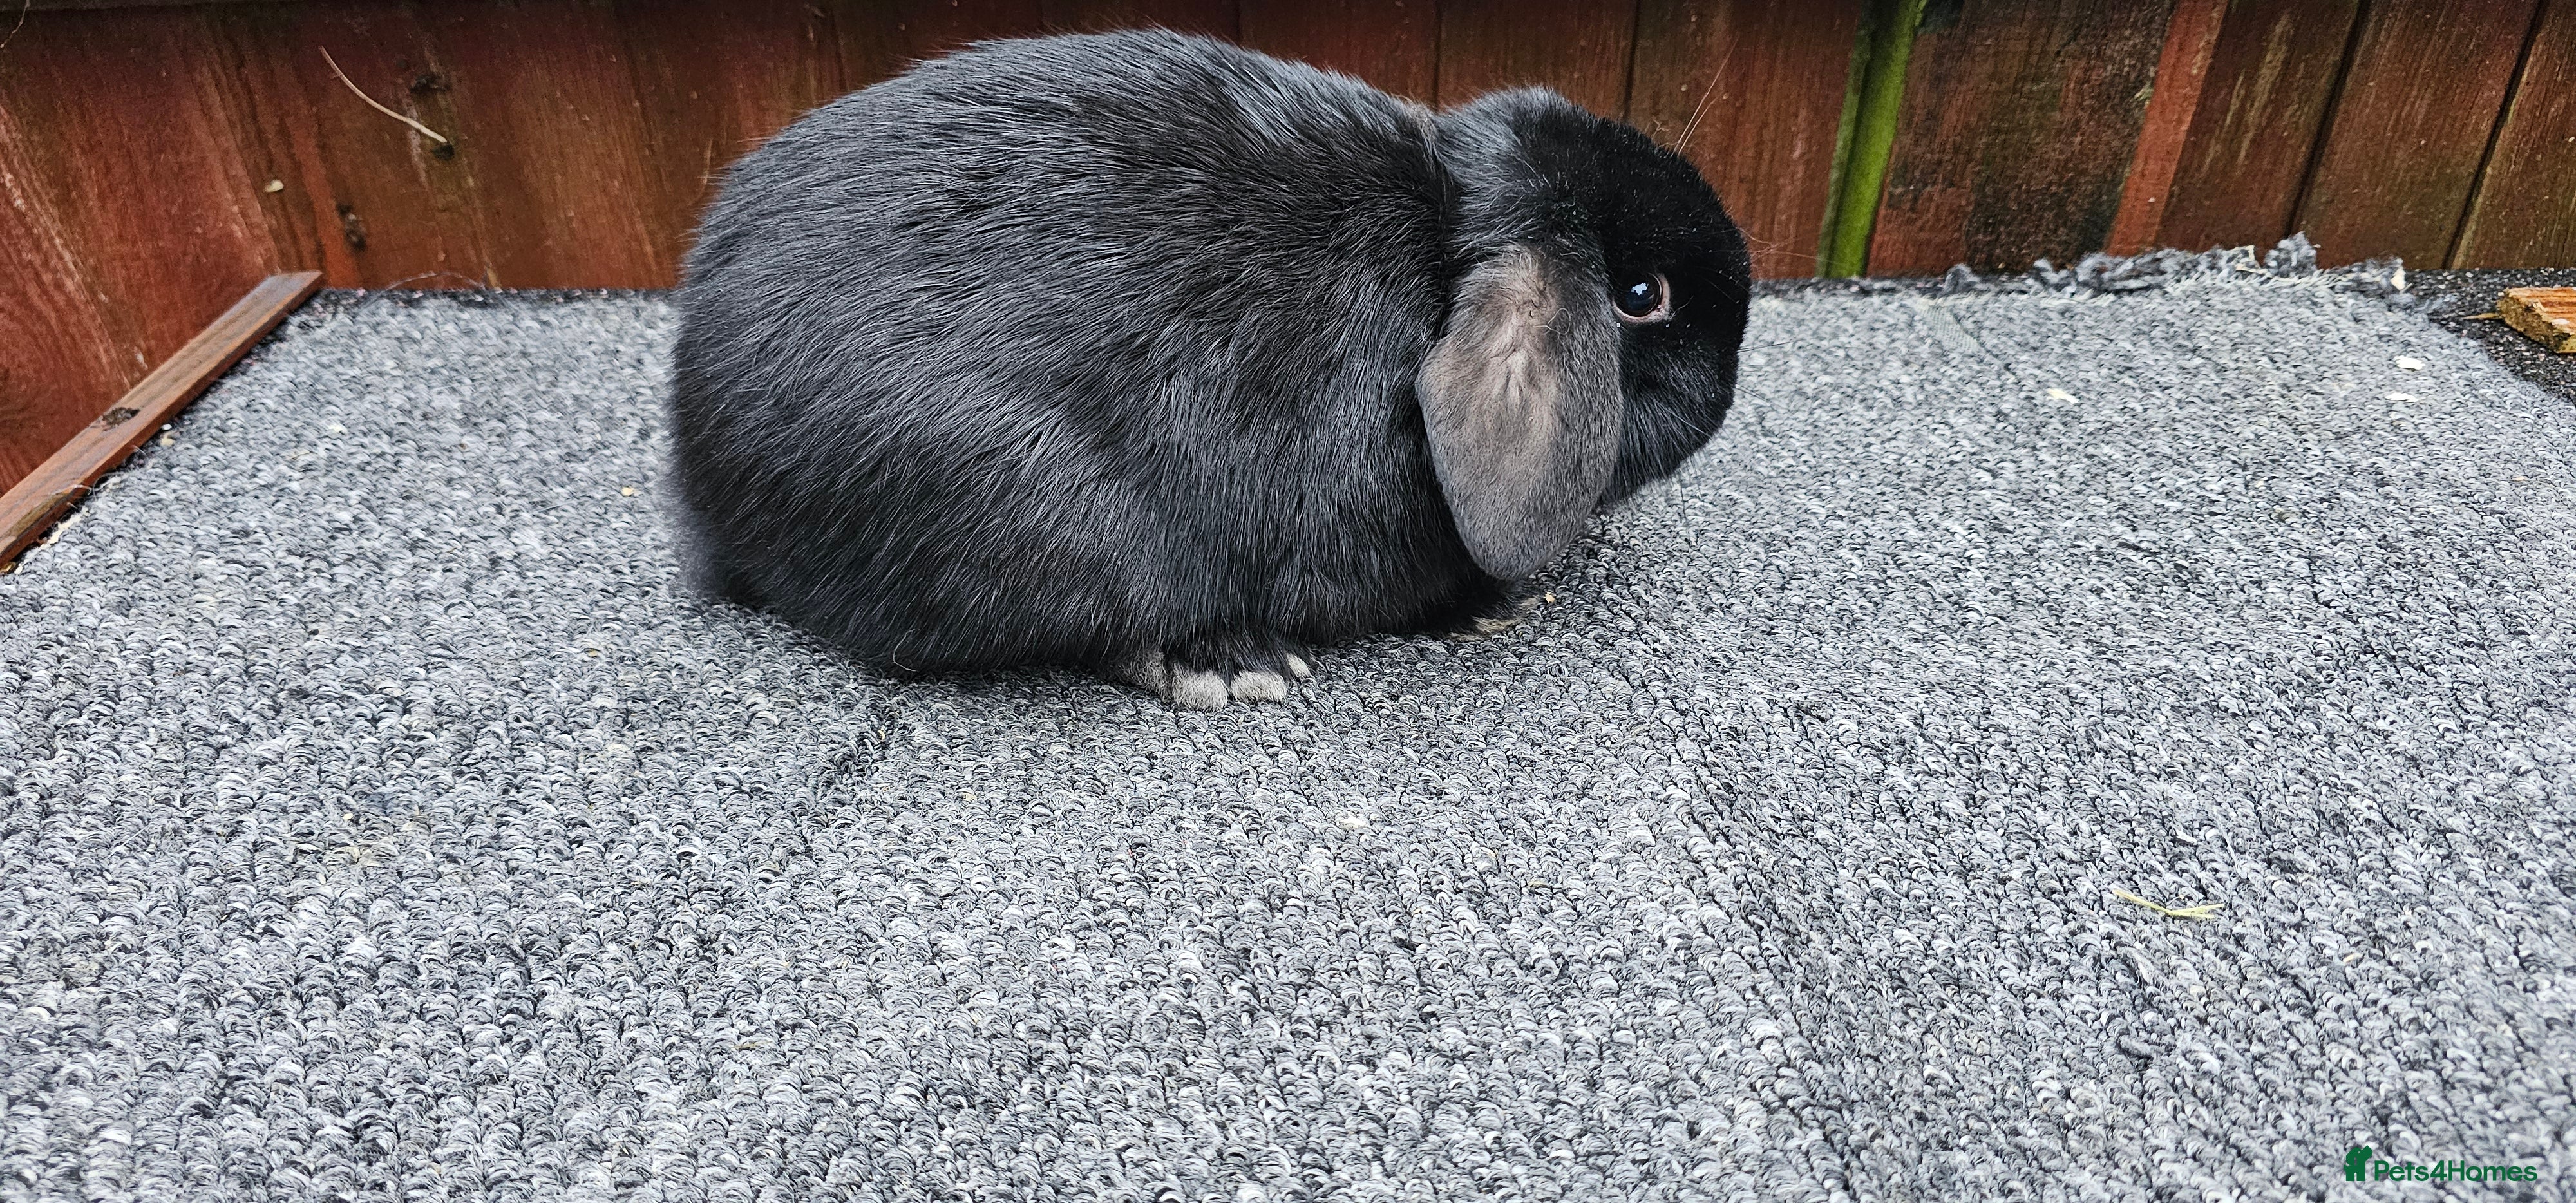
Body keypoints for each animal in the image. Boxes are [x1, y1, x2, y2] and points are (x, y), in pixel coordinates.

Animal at [668, 29, 1750, 709]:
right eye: (1641, 296)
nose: (1732, 375)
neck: (1438, 252)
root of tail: (704, 477)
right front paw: (1493, 603)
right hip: (1049, 523)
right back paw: (1224, 662)